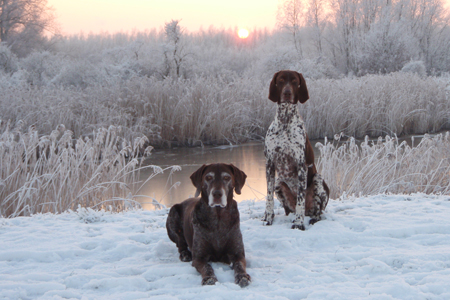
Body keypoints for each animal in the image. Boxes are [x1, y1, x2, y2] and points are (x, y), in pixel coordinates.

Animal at [262, 70, 328, 230]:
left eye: (294, 81)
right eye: (280, 80)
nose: (287, 93)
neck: (285, 121)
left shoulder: (301, 166)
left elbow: (300, 199)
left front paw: (298, 223)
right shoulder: (269, 164)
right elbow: (268, 197)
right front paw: (268, 218)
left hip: (318, 179)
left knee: (317, 212)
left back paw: (311, 218)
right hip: (279, 183)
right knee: (288, 209)